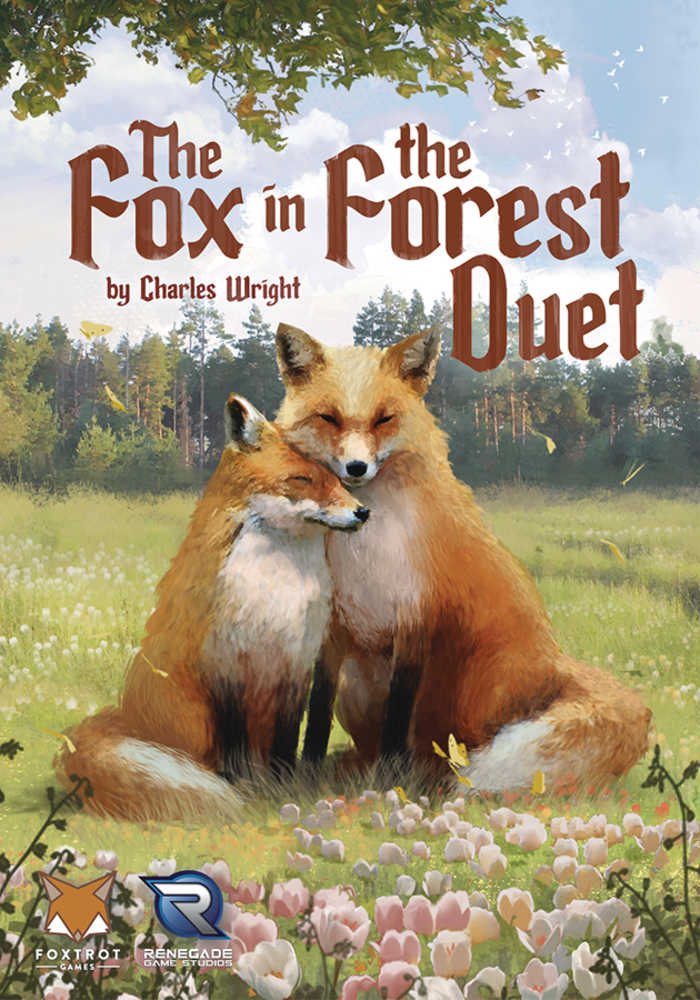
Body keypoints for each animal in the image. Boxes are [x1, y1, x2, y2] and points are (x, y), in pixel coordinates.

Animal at [55, 394, 369, 821]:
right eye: (302, 479)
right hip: (194, 718)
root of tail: (124, 716)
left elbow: (287, 740)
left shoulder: (296, 663)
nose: (363, 512)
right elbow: (232, 743)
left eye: (339, 479)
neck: (274, 591)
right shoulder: (224, 662)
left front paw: (285, 785)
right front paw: (241, 787)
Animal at [274, 323, 652, 790]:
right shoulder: (333, 630)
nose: (356, 468)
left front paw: (389, 781)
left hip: (476, 684)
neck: (364, 552)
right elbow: (317, 712)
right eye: (328, 418)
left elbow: (398, 715)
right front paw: (304, 774)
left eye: (384, 419)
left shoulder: (416, 620)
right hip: (358, 684)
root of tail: (555, 664)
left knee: (452, 748)